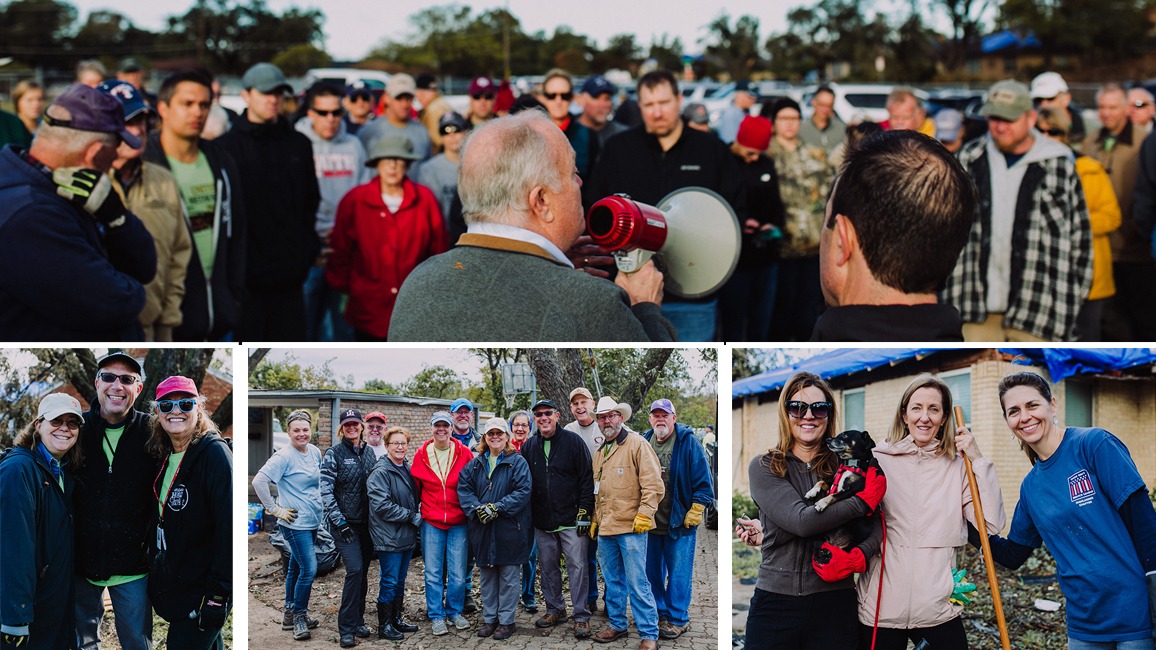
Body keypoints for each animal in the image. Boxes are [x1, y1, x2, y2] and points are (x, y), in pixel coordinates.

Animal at [804, 427, 883, 559]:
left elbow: (834, 495)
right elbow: (821, 482)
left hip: (853, 542)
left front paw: (821, 503)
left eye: (845, 436)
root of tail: (834, 543)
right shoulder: (832, 483)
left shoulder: (852, 490)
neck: (850, 465)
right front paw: (812, 492)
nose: (827, 439)